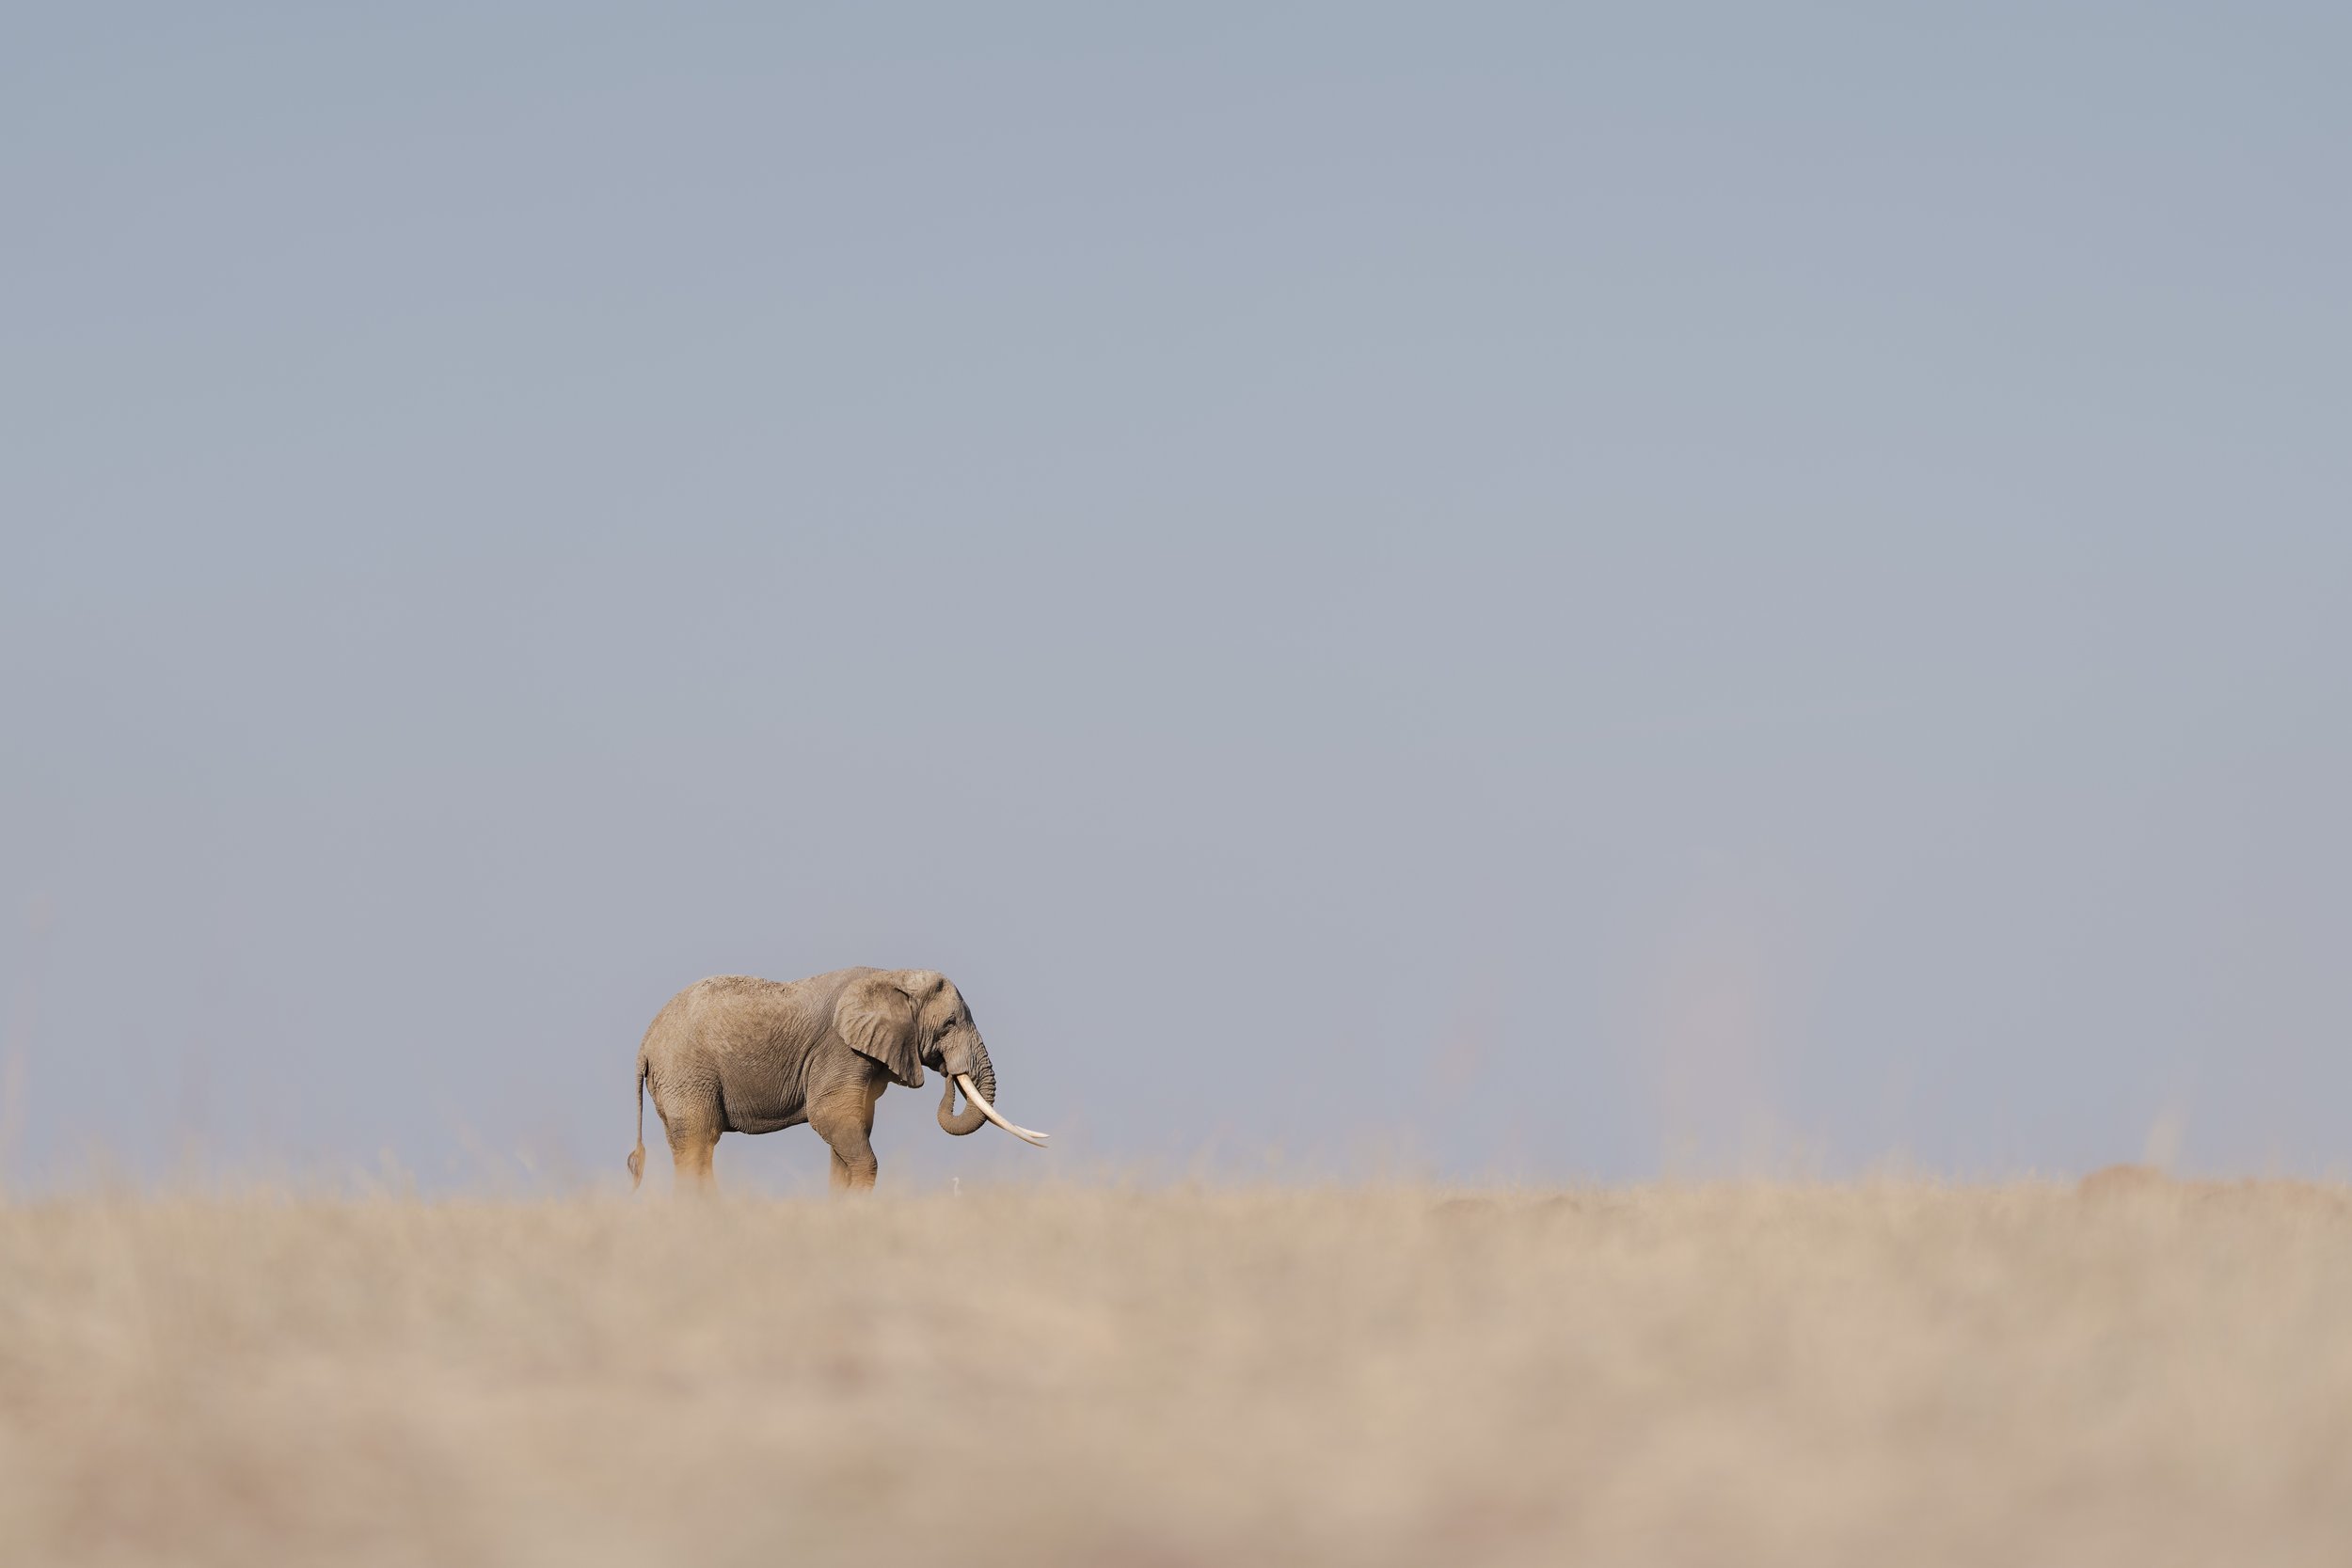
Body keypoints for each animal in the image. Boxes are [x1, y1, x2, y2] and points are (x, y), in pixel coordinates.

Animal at [628, 967, 1047, 1193]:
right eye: (949, 1024)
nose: (948, 1071)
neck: (892, 976)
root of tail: (644, 1045)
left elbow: (852, 1126)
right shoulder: (840, 1050)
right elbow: (830, 1117)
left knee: (692, 1146)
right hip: (686, 1073)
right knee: (699, 1142)